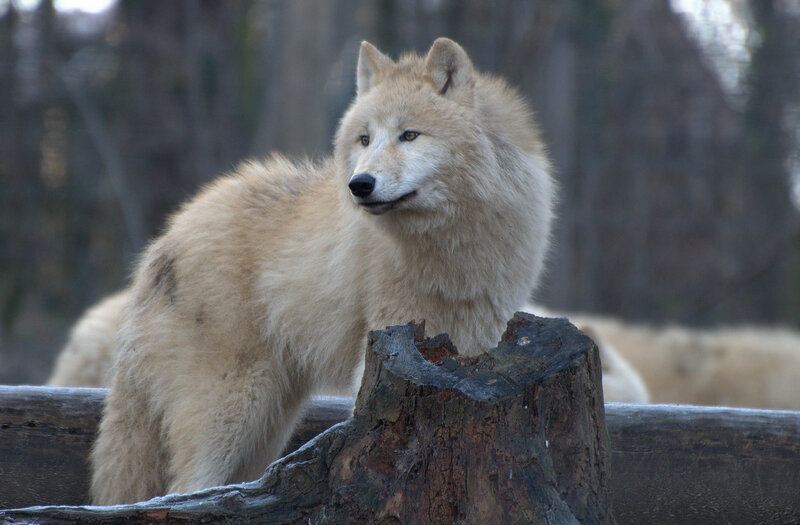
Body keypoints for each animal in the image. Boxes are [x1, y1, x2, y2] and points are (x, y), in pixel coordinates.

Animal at [90, 38, 555, 505]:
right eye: (365, 139)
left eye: (409, 135)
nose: (360, 185)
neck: (450, 249)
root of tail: (164, 240)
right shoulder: (383, 343)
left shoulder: (478, 341)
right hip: (230, 408)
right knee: (184, 491)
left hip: (267, 424)